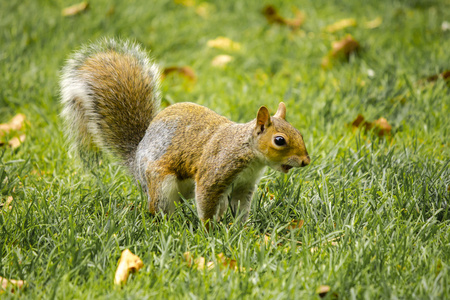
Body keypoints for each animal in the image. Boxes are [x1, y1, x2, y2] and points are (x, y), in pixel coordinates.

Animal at [59, 38, 310, 225]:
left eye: (300, 133)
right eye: (279, 140)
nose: (306, 161)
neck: (246, 148)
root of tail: (137, 157)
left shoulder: (244, 184)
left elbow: (240, 207)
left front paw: (242, 229)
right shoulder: (215, 171)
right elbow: (206, 200)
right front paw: (209, 231)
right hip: (160, 184)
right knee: (158, 209)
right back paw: (167, 225)